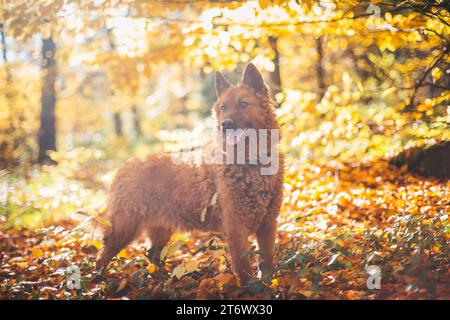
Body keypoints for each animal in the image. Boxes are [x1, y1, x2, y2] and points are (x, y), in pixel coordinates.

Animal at [96, 63, 284, 284]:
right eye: (223, 108)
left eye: (243, 104)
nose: (225, 124)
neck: (251, 163)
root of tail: (126, 164)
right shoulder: (236, 228)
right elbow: (244, 269)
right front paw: (252, 289)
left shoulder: (268, 225)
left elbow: (267, 262)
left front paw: (269, 284)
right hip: (123, 227)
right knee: (102, 256)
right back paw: (96, 281)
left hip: (159, 231)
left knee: (152, 255)